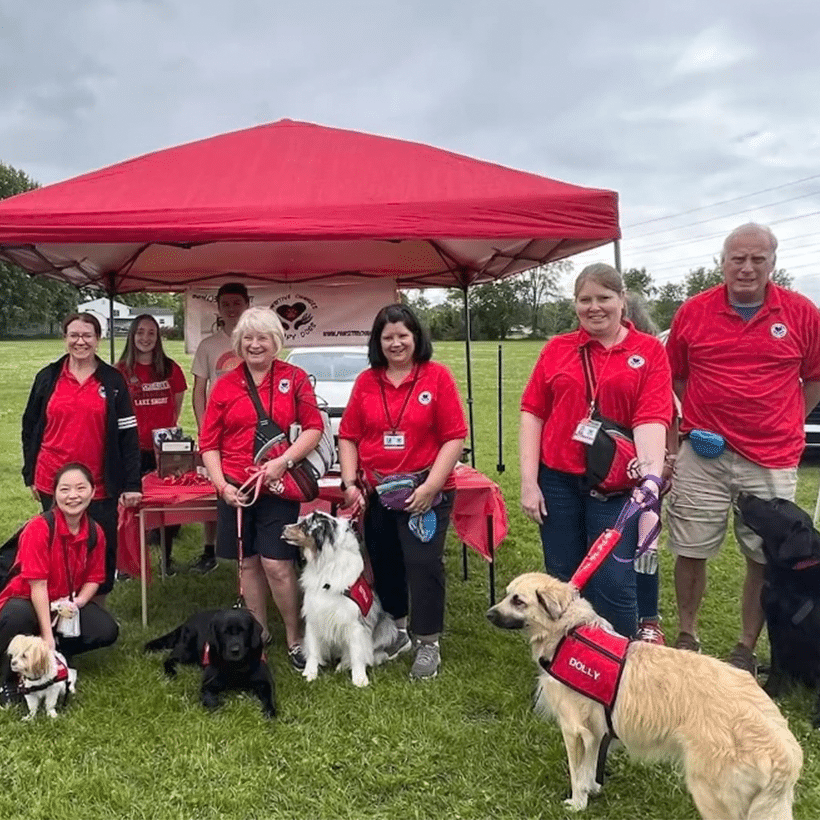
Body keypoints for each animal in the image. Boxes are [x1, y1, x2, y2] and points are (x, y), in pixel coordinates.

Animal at [144, 608, 276, 716]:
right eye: (224, 632)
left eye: (243, 631)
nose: (235, 650)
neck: (236, 667)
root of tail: (188, 620)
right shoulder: (209, 685)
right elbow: (211, 702)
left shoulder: (264, 682)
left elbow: (269, 698)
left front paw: (270, 714)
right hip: (186, 650)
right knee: (169, 658)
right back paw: (171, 672)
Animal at [284, 512, 398, 684]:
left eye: (304, 525)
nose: (283, 527)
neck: (325, 566)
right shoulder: (314, 616)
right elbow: (313, 650)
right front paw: (310, 673)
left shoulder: (354, 623)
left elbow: (357, 653)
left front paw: (359, 679)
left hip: (387, 625)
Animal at [486, 572, 800, 820]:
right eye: (506, 595)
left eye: (518, 601)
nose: (488, 614)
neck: (568, 631)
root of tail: (784, 749)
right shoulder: (597, 732)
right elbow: (589, 769)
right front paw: (592, 790)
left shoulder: (575, 730)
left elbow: (577, 773)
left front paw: (577, 803)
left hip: (711, 793)